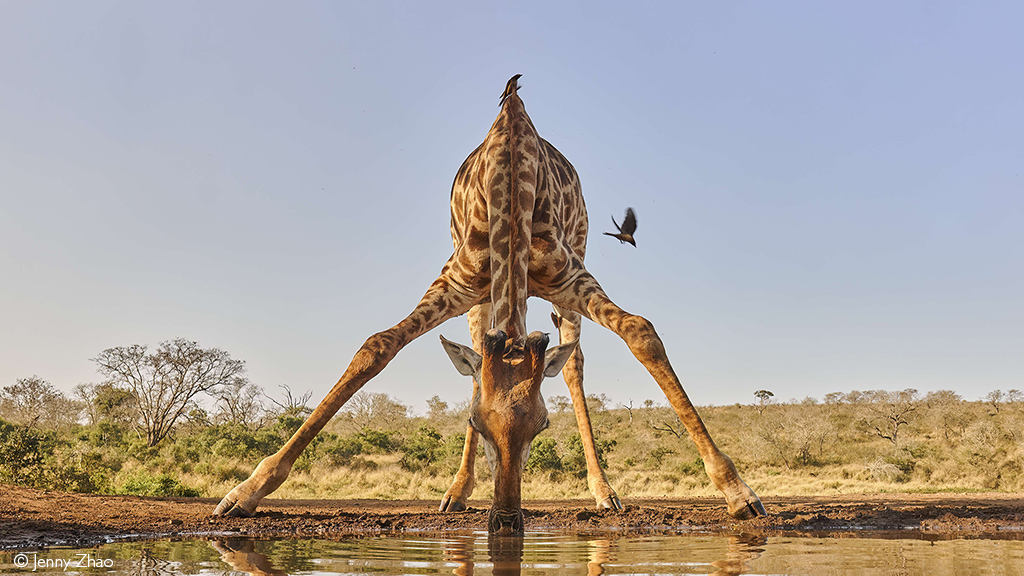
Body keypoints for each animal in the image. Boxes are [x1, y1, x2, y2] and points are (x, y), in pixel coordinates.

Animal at [211, 76, 765, 528]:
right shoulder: (454, 282)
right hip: (480, 300)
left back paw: (603, 492)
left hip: (571, 269)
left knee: (573, 363)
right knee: (476, 356)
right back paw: (456, 494)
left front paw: (737, 491)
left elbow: (641, 331)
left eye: (543, 425)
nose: (505, 519)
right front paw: (245, 492)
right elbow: (378, 346)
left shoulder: (569, 274)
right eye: (478, 421)